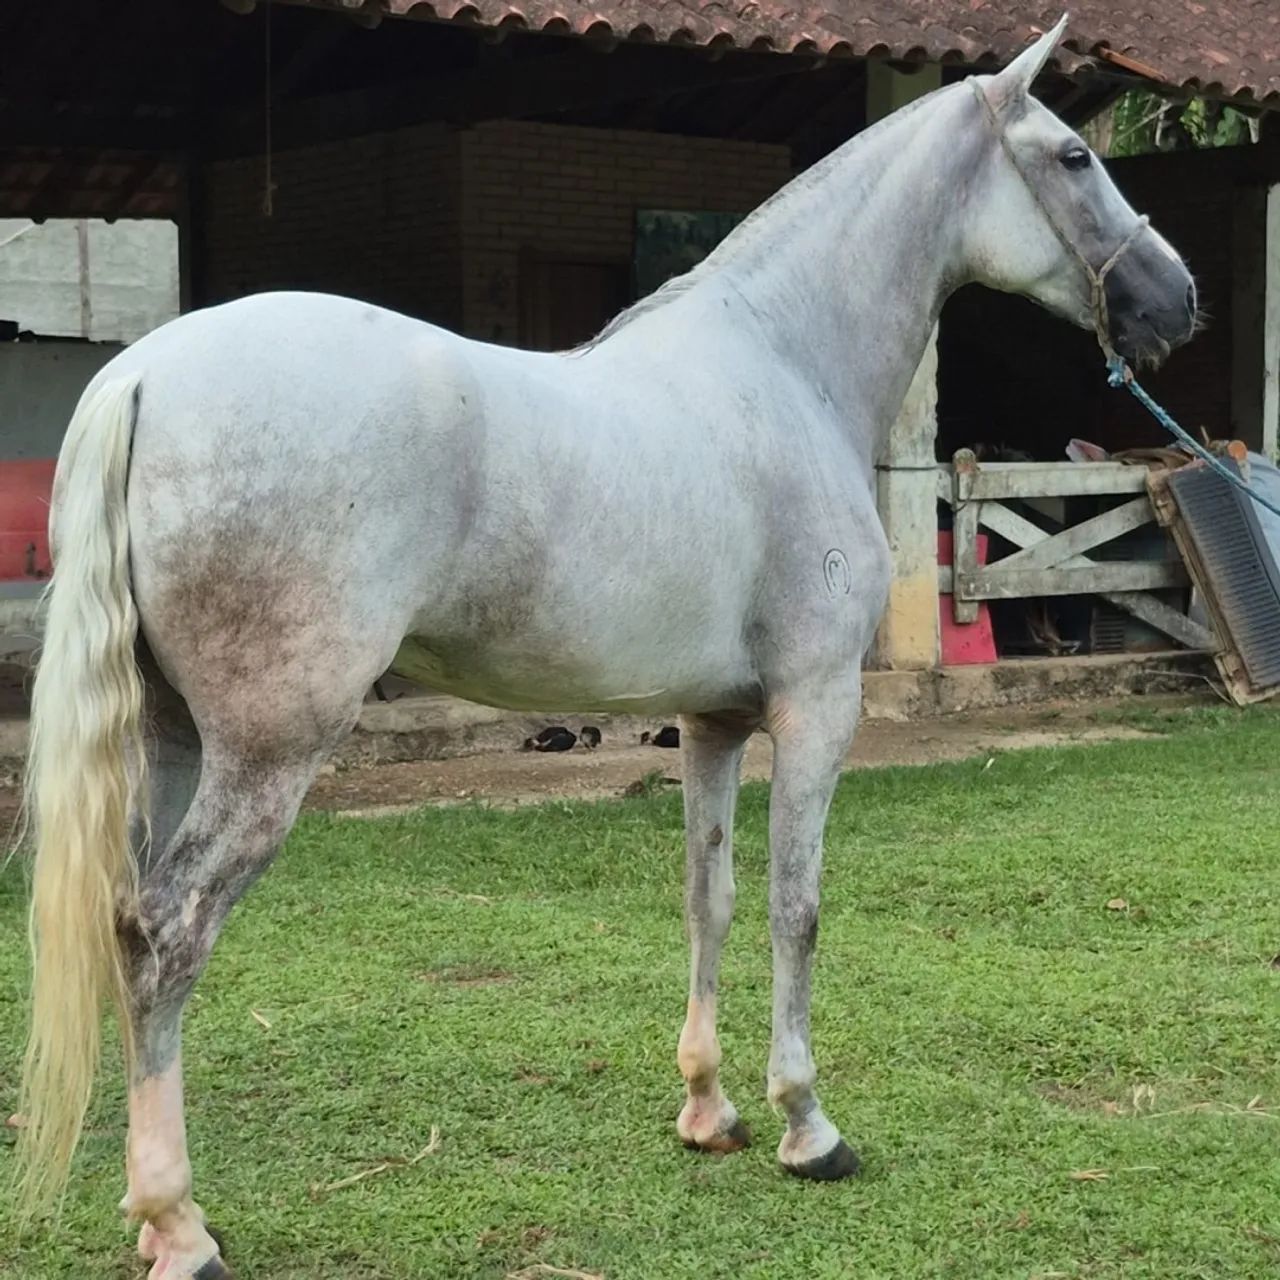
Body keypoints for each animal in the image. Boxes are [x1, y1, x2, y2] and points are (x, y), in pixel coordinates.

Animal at [18, 18, 1195, 1276]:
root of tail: (144, 374)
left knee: (126, 923)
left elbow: (706, 897)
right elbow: (795, 906)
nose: (1176, 298)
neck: (784, 362)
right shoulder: (816, 706)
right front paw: (806, 1123)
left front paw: (708, 1108)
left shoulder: (712, 722)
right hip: (265, 753)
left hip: (171, 736)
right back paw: (178, 1221)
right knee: (167, 934)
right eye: (1073, 155)